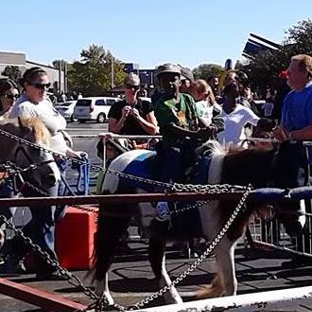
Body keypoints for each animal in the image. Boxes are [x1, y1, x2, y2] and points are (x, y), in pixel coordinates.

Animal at [94, 140, 308, 306]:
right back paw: (105, 297)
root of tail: (116, 163)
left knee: (155, 260)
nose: (299, 225)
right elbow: (231, 284)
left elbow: (225, 281)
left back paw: (174, 300)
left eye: (305, 181)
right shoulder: (222, 242)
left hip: (157, 229)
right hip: (115, 221)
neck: (226, 186)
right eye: (285, 181)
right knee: (106, 252)